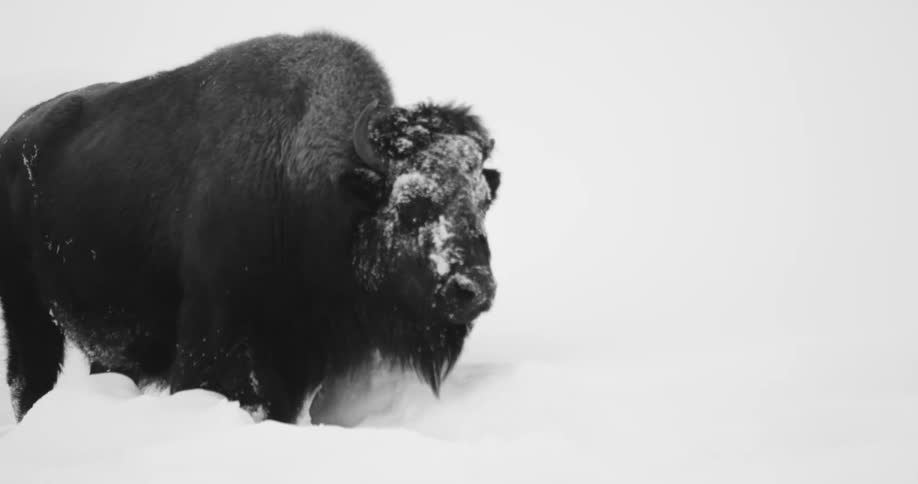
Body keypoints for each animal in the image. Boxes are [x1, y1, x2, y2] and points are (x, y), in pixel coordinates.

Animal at [0, 32, 500, 423]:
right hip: (29, 319)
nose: (474, 290)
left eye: (482, 202)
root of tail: (15, 135)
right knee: (29, 380)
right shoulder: (220, 347)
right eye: (412, 203)